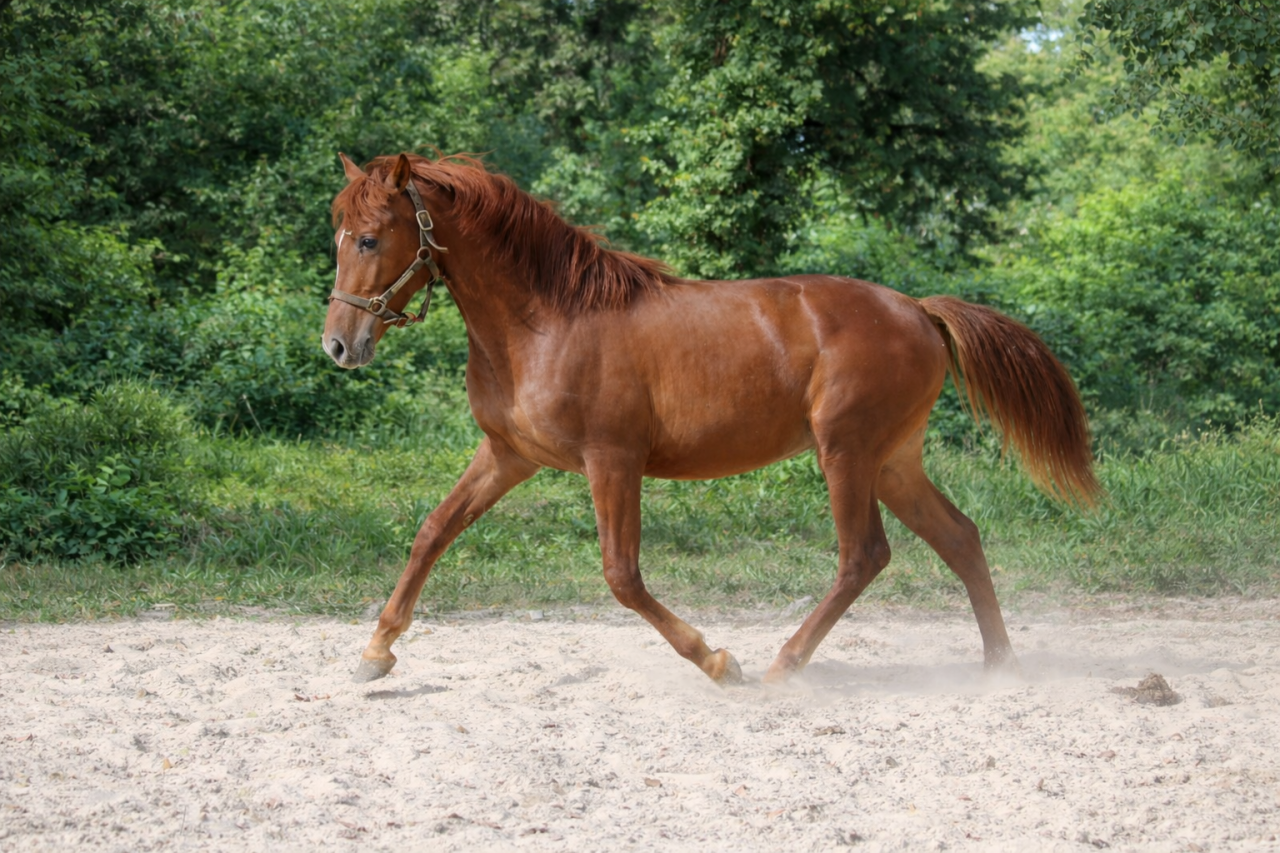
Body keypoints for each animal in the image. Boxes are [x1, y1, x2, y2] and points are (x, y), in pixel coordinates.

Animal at [323, 152, 1100, 686]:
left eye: (369, 239)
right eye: (339, 235)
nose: (338, 345)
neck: (545, 322)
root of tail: (918, 310)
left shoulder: (613, 461)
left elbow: (623, 576)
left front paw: (719, 661)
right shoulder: (508, 455)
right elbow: (432, 532)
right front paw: (375, 651)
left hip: (847, 452)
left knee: (864, 555)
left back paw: (783, 664)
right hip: (893, 461)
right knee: (961, 537)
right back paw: (1000, 665)